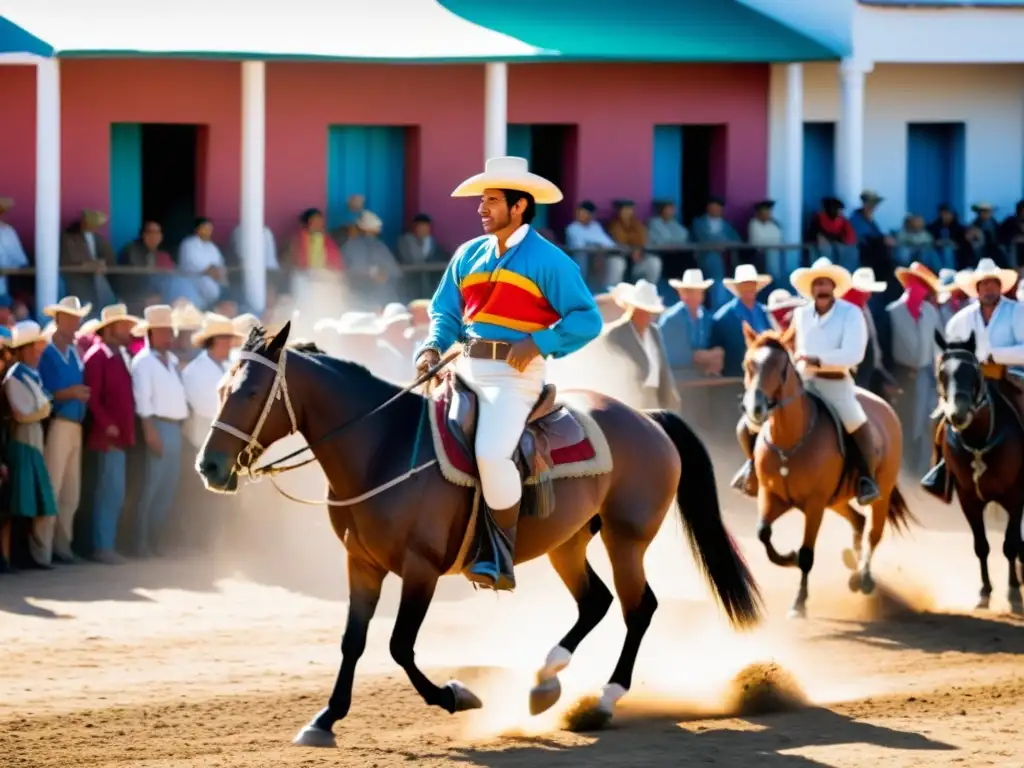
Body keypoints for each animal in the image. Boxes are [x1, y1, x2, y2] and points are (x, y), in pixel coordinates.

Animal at [197, 323, 761, 745]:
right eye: (220, 389)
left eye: (251, 392)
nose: (209, 466)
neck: (383, 447)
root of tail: (646, 417)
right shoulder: (363, 563)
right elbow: (352, 641)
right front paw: (325, 719)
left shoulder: (420, 568)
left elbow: (399, 645)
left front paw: (453, 695)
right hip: (569, 543)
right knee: (595, 602)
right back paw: (545, 682)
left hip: (626, 541)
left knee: (638, 608)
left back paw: (604, 699)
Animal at [741, 325, 917, 618]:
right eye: (748, 365)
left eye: (781, 367)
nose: (756, 409)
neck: (789, 441)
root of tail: (885, 407)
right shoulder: (771, 495)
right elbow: (763, 534)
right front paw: (788, 558)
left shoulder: (814, 505)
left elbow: (806, 554)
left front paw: (799, 603)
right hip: (836, 500)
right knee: (858, 522)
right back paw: (853, 567)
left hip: (878, 496)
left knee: (873, 533)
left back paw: (864, 578)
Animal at [933, 331, 1019, 614]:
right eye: (942, 373)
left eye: (974, 373)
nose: (957, 415)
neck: (980, 441)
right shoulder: (968, 498)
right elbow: (981, 546)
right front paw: (984, 592)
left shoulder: (1016, 497)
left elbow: (1011, 544)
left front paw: (1014, 593)